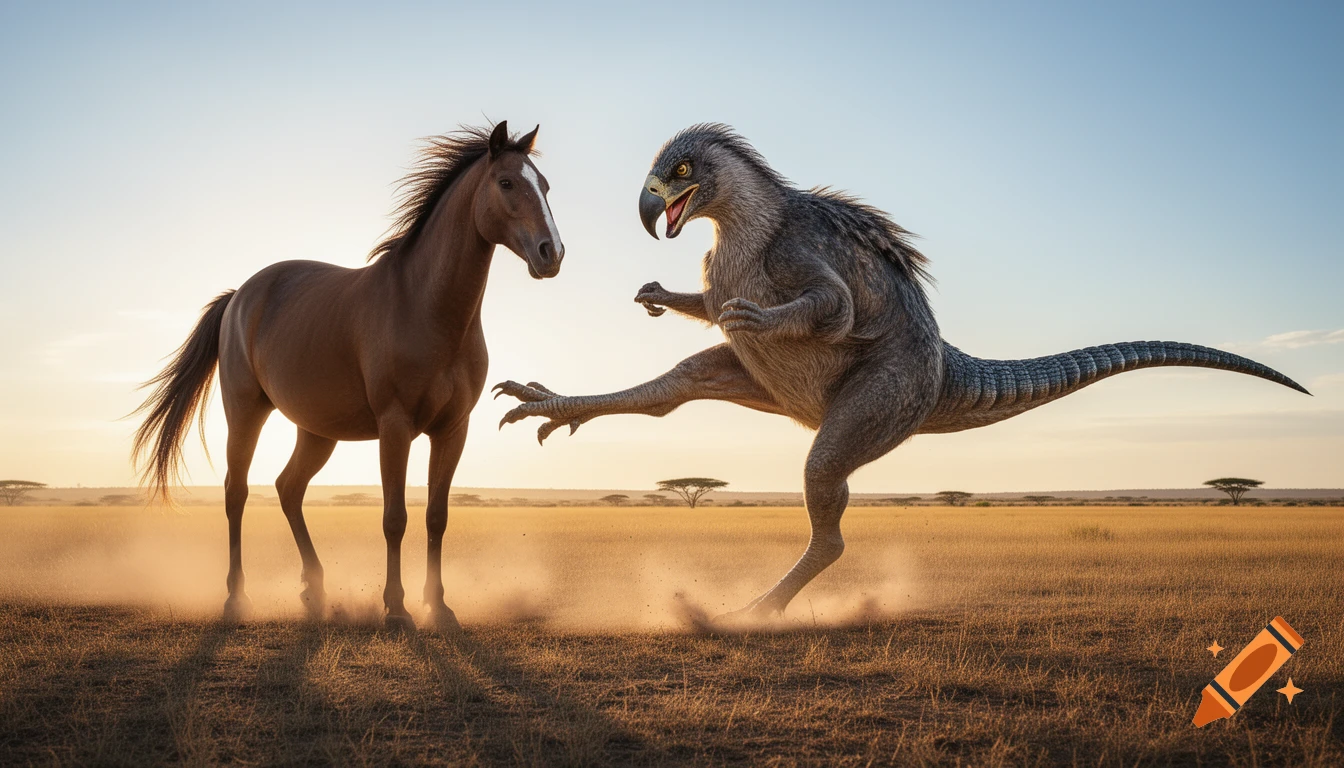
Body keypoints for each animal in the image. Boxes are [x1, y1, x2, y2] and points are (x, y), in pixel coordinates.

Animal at [133, 122, 563, 630]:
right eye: (507, 183)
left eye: (546, 186)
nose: (552, 253)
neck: (426, 306)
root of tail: (240, 295)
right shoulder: (395, 427)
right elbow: (394, 517)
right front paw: (396, 609)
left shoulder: (452, 429)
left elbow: (436, 517)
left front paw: (439, 606)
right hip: (246, 412)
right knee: (236, 493)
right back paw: (237, 598)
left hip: (317, 432)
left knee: (288, 488)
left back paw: (314, 589)